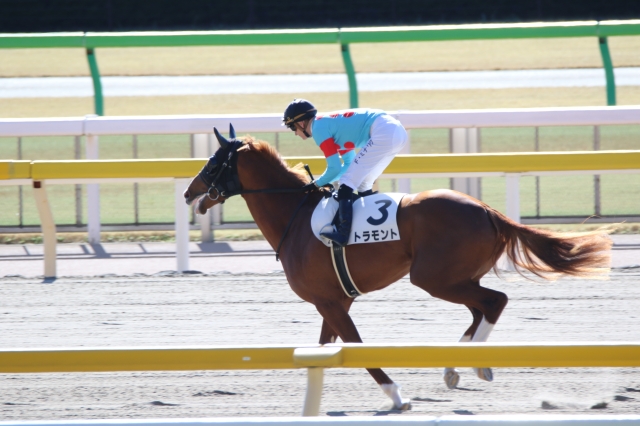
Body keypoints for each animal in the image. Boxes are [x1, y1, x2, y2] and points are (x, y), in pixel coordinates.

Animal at [182, 125, 612, 410]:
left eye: (213, 162)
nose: (188, 192)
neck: (296, 218)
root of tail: (489, 211)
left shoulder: (330, 302)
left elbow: (356, 347)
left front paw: (397, 396)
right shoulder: (333, 301)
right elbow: (325, 346)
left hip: (434, 278)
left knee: (495, 301)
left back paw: (473, 366)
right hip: (457, 276)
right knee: (480, 309)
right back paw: (456, 367)